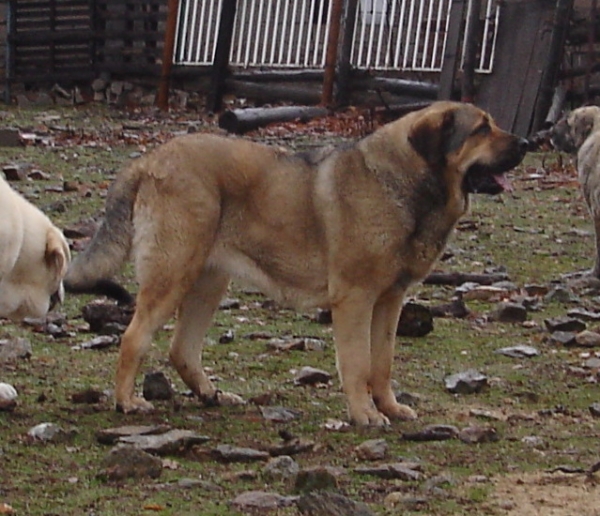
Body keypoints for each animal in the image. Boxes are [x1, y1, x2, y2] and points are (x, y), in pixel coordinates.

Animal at [63, 102, 528, 428]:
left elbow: (383, 362)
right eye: (481, 129)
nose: (527, 143)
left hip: (208, 281)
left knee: (182, 348)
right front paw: (365, 414)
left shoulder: (390, 301)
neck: (408, 184)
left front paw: (391, 408)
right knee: (134, 337)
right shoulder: (355, 300)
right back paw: (127, 401)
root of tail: (147, 161)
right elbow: (358, 363)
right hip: (174, 274)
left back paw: (211, 395)